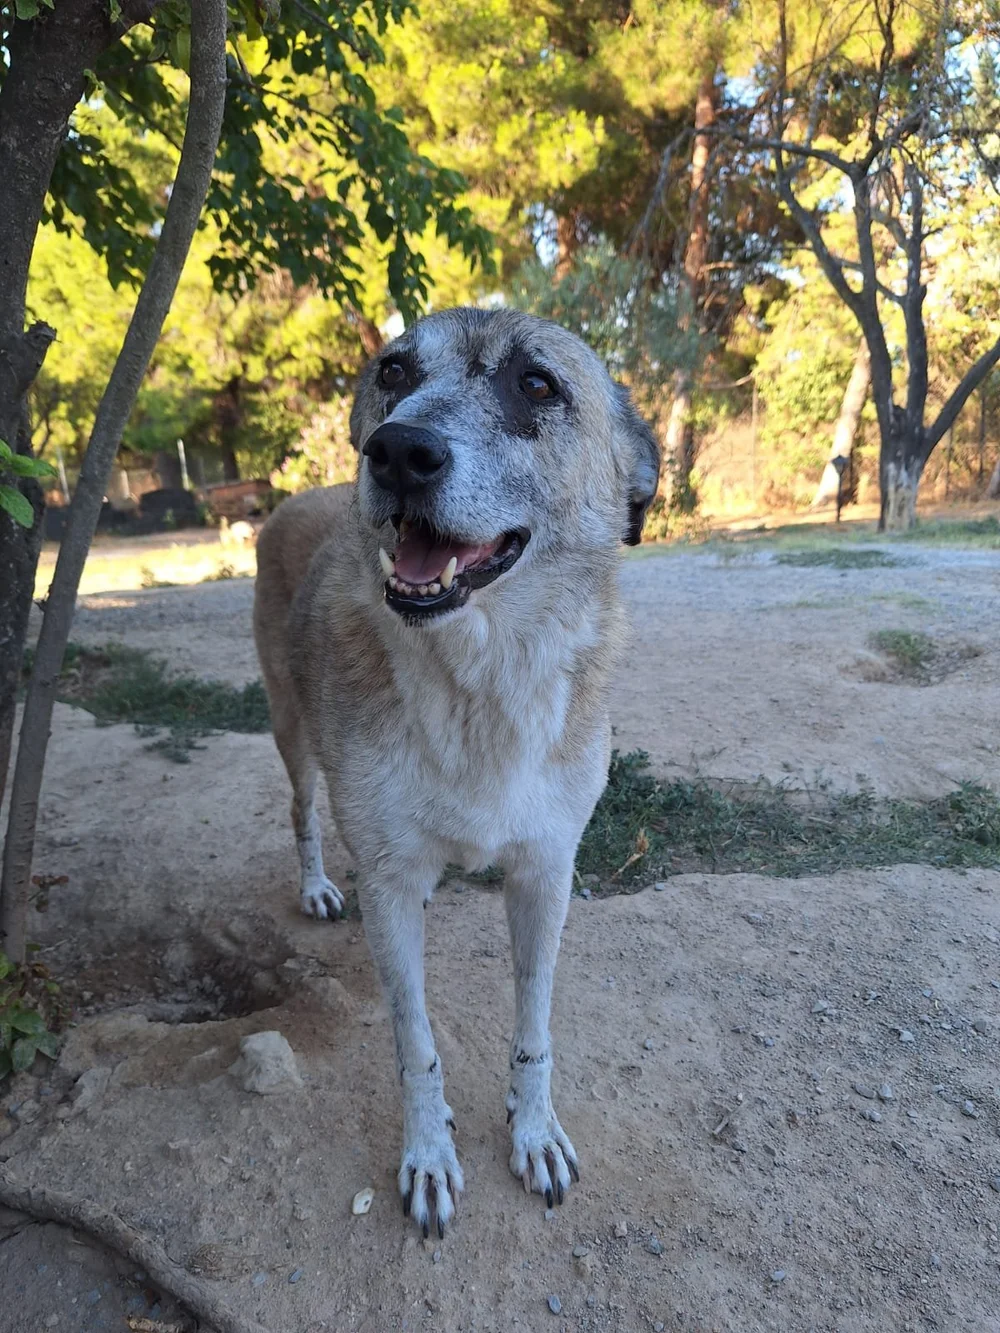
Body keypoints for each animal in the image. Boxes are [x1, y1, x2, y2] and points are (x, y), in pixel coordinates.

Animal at [253, 307, 659, 1237]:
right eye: (394, 371)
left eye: (537, 383)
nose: (398, 452)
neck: (481, 682)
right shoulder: (391, 882)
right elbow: (416, 1045)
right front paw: (430, 1152)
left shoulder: (546, 871)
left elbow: (535, 1027)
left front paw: (534, 1131)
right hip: (292, 735)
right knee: (302, 812)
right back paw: (318, 884)